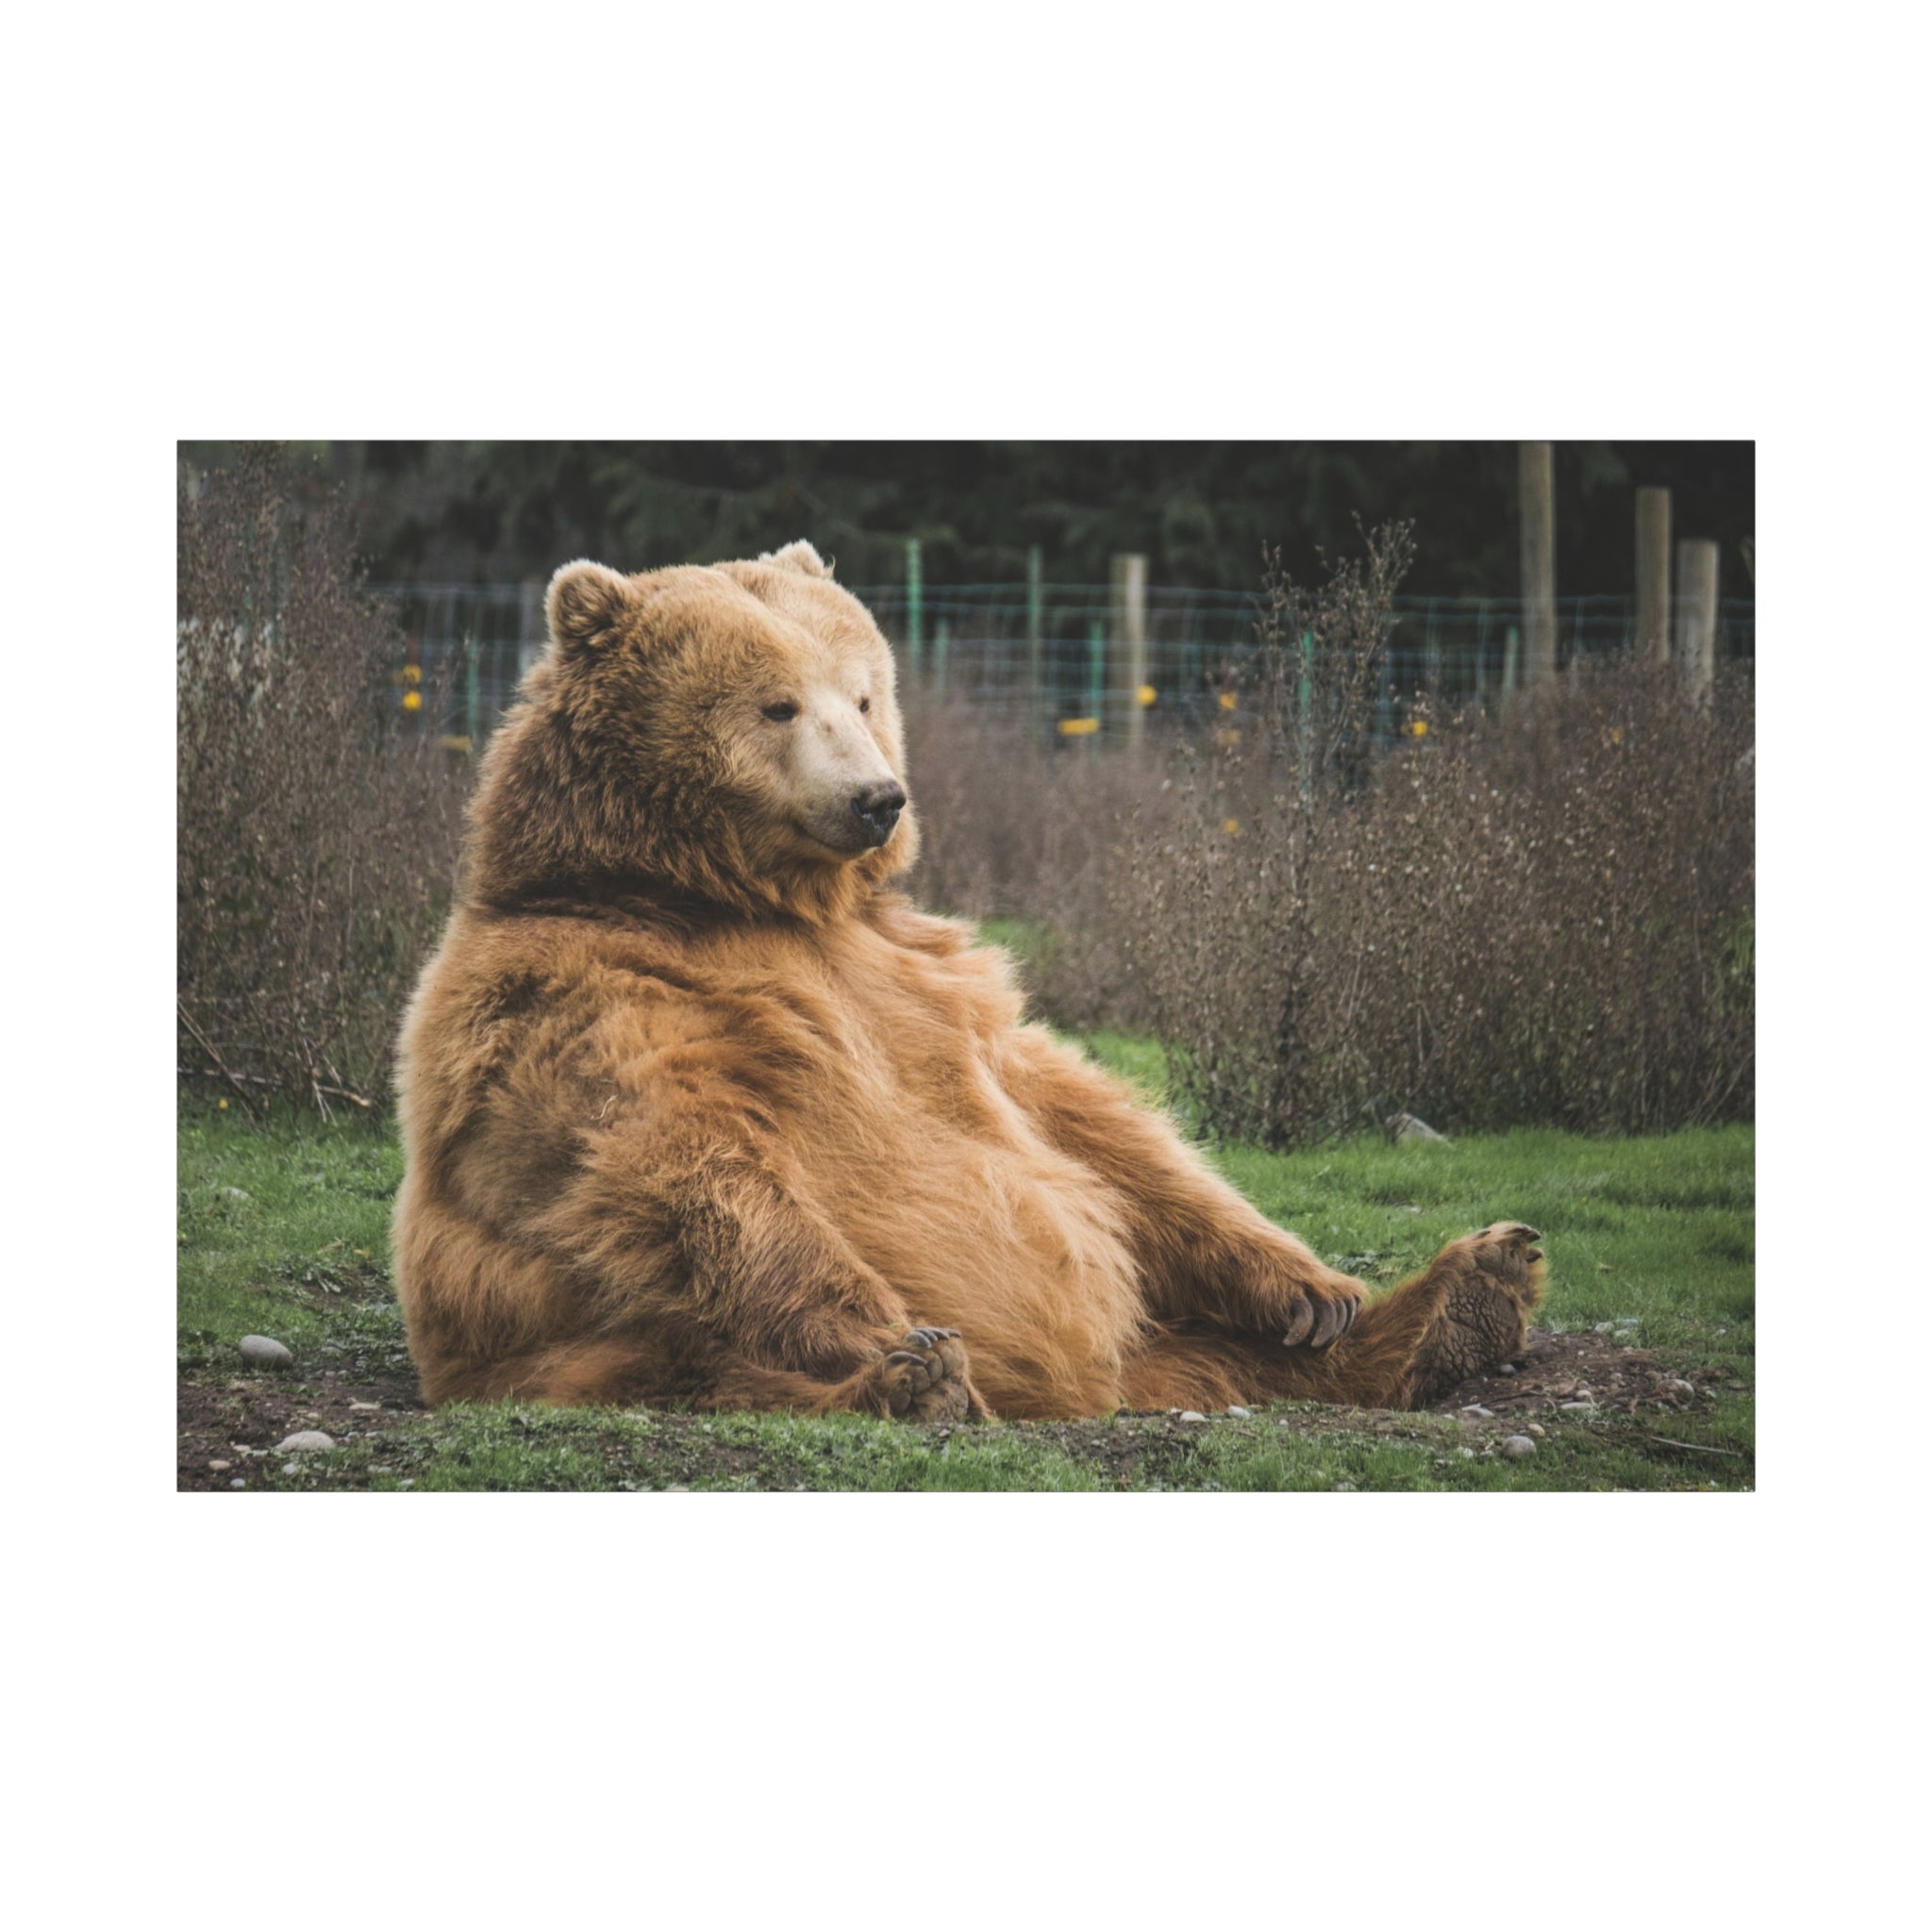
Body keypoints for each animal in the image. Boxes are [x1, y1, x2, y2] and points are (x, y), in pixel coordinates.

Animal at [391, 541, 1545, 1422]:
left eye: (863, 693)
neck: (729, 897)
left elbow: (1086, 1119)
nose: (877, 797)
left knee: (1229, 1352)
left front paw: (1311, 1287)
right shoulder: (583, 992)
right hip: (571, 1343)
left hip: (1163, 1338)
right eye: (776, 705)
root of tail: (1091, 1390)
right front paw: (894, 1336)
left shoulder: (925, 979)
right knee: (704, 1363)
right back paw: (915, 1382)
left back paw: (1464, 1295)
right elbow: (675, 1158)